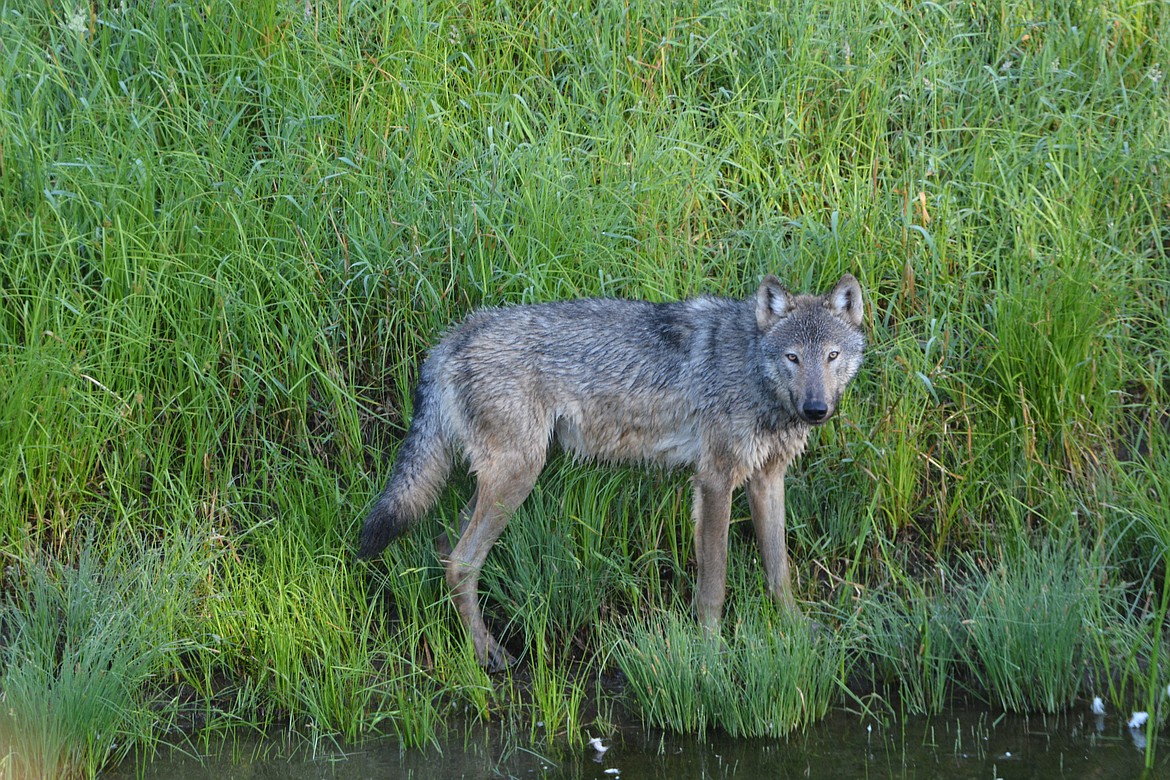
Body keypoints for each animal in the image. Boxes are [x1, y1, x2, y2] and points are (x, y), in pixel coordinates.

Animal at [360, 274, 865, 673]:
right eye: (793, 357)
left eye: (832, 355)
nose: (816, 409)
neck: (752, 368)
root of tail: (455, 335)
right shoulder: (716, 480)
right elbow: (714, 584)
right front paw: (710, 655)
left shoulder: (767, 479)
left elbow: (779, 570)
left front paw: (798, 631)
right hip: (517, 478)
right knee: (461, 563)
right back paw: (489, 655)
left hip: (501, 482)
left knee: (445, 547)